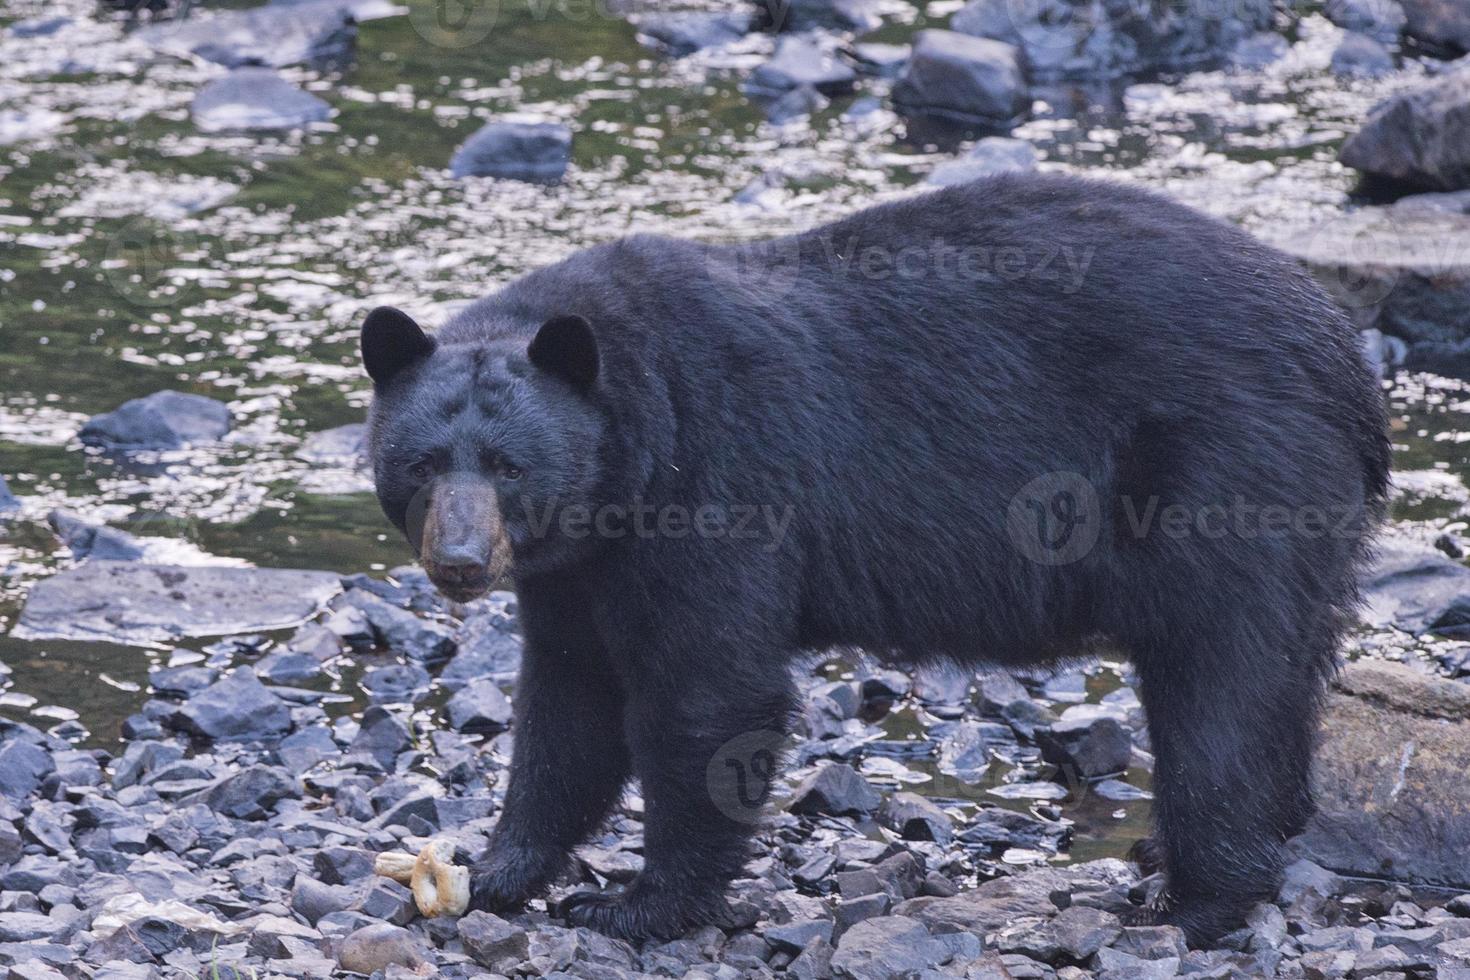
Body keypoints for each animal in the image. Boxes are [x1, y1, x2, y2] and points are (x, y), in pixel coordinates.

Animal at [358, 172, 1387, 946]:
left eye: (510, 465)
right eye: (422, 462)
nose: (460, 561)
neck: (633, 452)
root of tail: (1345, 359)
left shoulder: (719, 489)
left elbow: (707, 695)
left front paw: (638, 904)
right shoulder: (579, 566)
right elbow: (568, 700)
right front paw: (495, 871)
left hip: (1226, 475)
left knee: (1219, 686)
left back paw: (1196, 897)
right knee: (1283, 675)